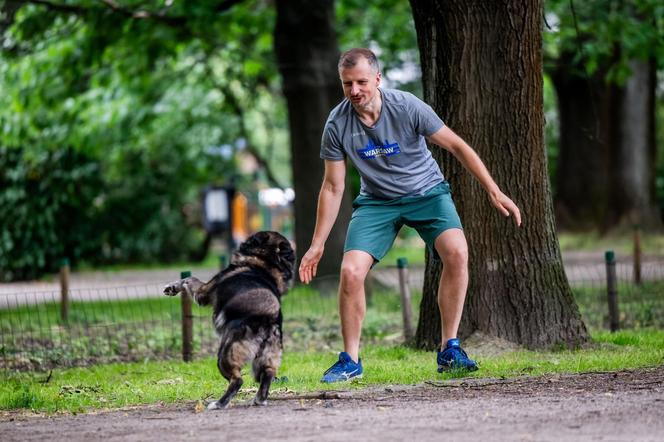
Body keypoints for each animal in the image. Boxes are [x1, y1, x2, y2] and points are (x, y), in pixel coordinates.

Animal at [162, 231, 294, 410]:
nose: (241, 241)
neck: (266, 263)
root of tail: (268, 321)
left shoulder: (204, 291)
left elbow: (189, 278)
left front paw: (172, 287)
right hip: (268, 356)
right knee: (267, 375)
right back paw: (259, 399)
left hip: (225, 355)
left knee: (237, 380)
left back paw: (219, 403)